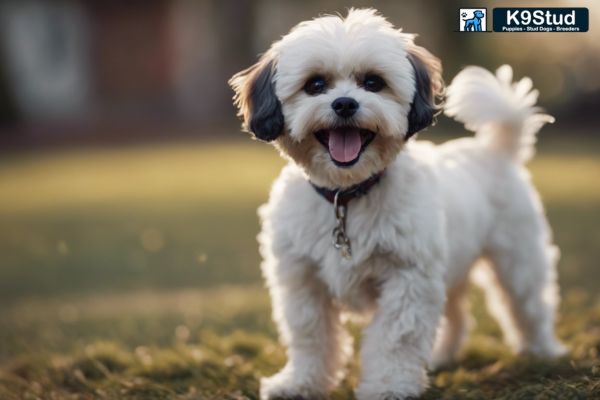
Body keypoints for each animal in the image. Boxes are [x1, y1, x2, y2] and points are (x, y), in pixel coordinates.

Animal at [227, 9, 564, 400]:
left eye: (373, 83)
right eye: (315, 84)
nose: (345, 103)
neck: (347, 197)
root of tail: (494, 150)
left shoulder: (408, 279)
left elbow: (395, 339)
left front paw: (389, 386)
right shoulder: (303, 280)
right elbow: (311, 337)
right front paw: (300, 383)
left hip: (517, 262)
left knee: (529, 306)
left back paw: (543, 351)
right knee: (457, 315)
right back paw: (442, 356)